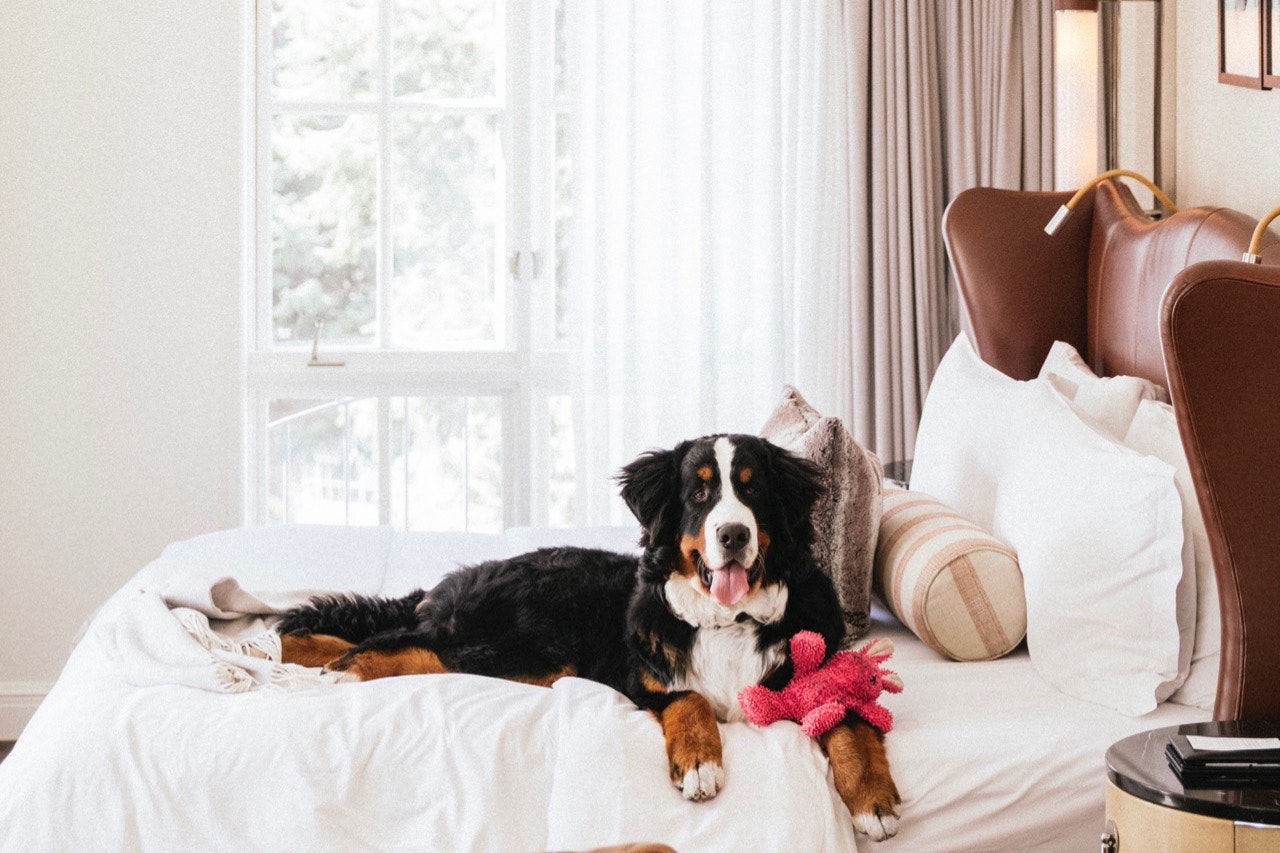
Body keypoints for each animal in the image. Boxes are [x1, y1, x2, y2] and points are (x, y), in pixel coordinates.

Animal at [280, 432, 901, 835]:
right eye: (700, 493)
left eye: (752, 490)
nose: (732, 534)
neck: (726, 621)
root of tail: (466, 575)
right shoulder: (638, 676)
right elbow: (691, 698)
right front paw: (701, 763)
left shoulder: (814, 675)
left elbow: (849, 723)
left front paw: (875, 801)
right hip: (531, 647)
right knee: (407, 644)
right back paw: (333, 667)